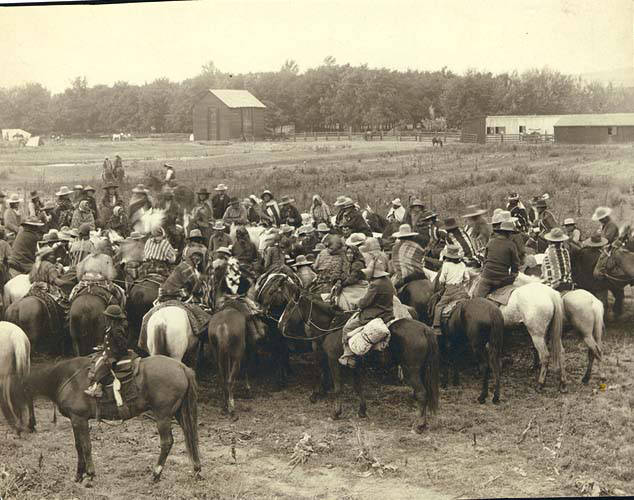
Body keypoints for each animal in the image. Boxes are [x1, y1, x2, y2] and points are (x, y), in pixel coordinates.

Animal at [0, 356, 200, 484]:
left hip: (163, 416)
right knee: (190, 437)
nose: (17, 427)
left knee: (167, 442)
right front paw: (79, 475)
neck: (64, 378)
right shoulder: (75, 420)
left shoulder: (79, 419)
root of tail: (182, 367)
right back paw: (196, 468)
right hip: (179, 413)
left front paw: (90, 474)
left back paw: (156, 473)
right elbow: (78, 446)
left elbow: (86, 446)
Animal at [260, 274, 436, 434]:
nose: (279, 324)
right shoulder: (355, 365)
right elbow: (358, 387)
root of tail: (424, 329)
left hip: (412, 369)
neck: (331, 325)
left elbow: (337, 386)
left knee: (422, 393)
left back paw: (419, 425)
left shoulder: (332, 360)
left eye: (290, 307)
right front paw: (362, 411)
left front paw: (334, 411)